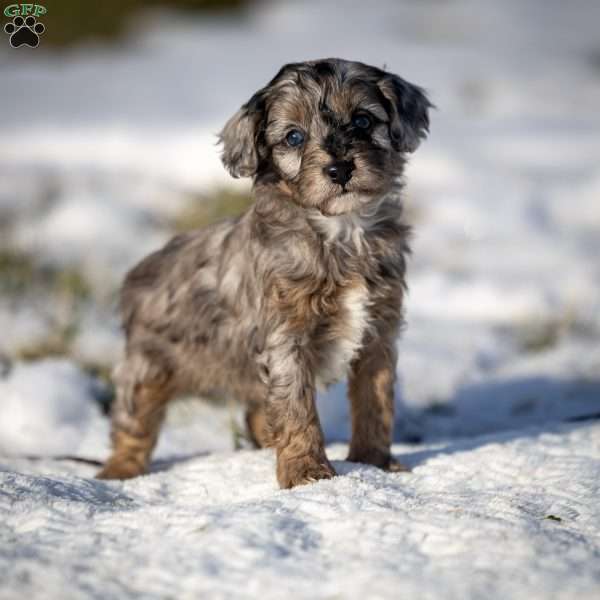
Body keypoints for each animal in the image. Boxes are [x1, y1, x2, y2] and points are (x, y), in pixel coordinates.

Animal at [96, 57, 428, 488]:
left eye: (362, 121)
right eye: (293, 137)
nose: (340, 169)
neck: (342, 231)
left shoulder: (379, 333)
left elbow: (376, 400)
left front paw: (375, 463)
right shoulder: (285, 337)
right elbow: (296, 408)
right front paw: (307, 473)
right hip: (148, 365)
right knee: (133, 421)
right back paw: (119, 472)